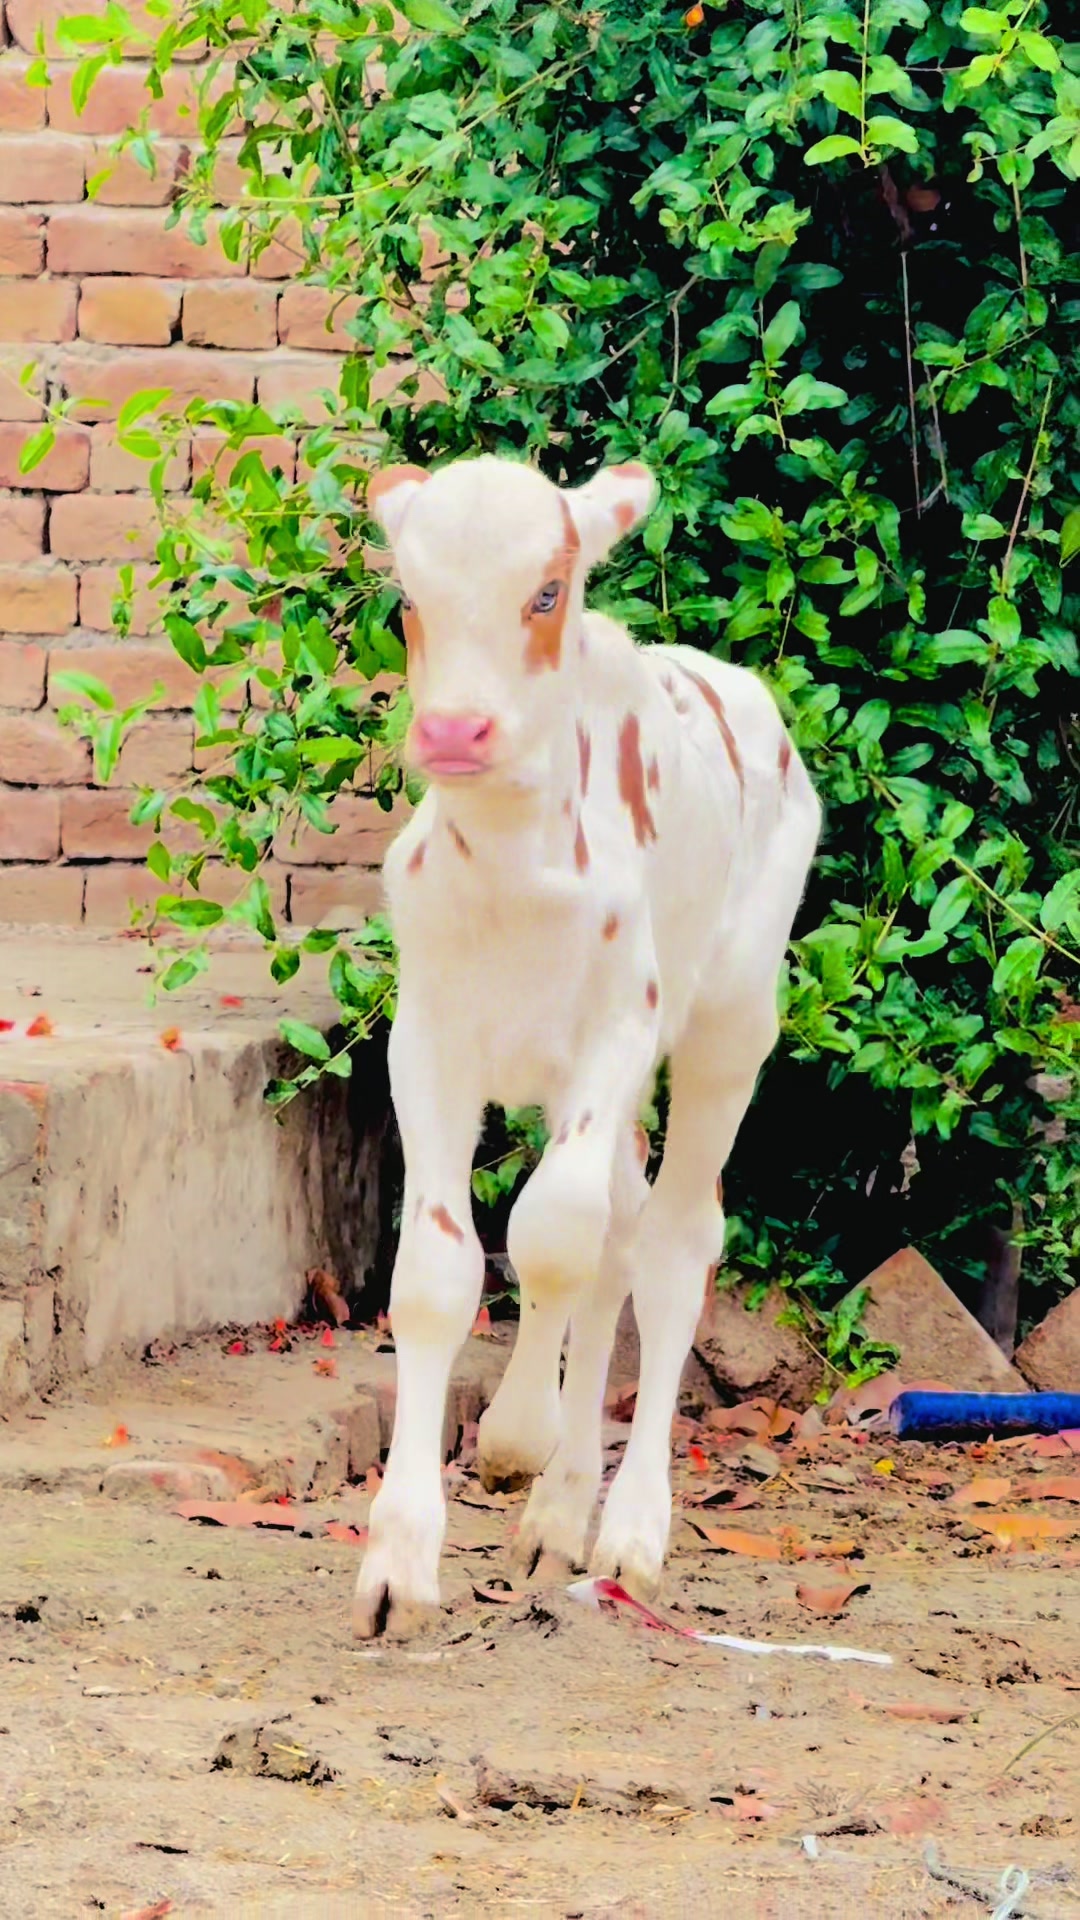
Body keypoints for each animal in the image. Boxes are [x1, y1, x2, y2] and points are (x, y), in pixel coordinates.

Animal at [352, 454, 821, 1638]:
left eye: (547, 591)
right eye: (410, 599)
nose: (456, 731)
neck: (515, 875)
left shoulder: (618, 1024)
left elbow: (552, 1232)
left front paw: (518, 1434)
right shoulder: (428, 1039)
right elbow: (439, 1269)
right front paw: (399, 1564)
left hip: (729, 1023)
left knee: (672, 1242)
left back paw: (630, 1532)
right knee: (622, 1223)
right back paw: (562, 1519)